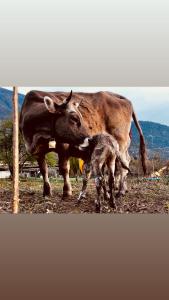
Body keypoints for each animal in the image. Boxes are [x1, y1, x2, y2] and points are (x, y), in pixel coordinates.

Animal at [19, 89, 147, 197]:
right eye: (74, 118)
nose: (89, 139)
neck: (38, 136)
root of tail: (117, 96)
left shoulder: (63, 146)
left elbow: (64, 168)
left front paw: (67, 191)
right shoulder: (37, 151)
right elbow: (43, 170)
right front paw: (47, 191)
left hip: (121, 142)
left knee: (123, 164)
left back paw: (120, 191)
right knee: (124, 162)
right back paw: (121, 188)